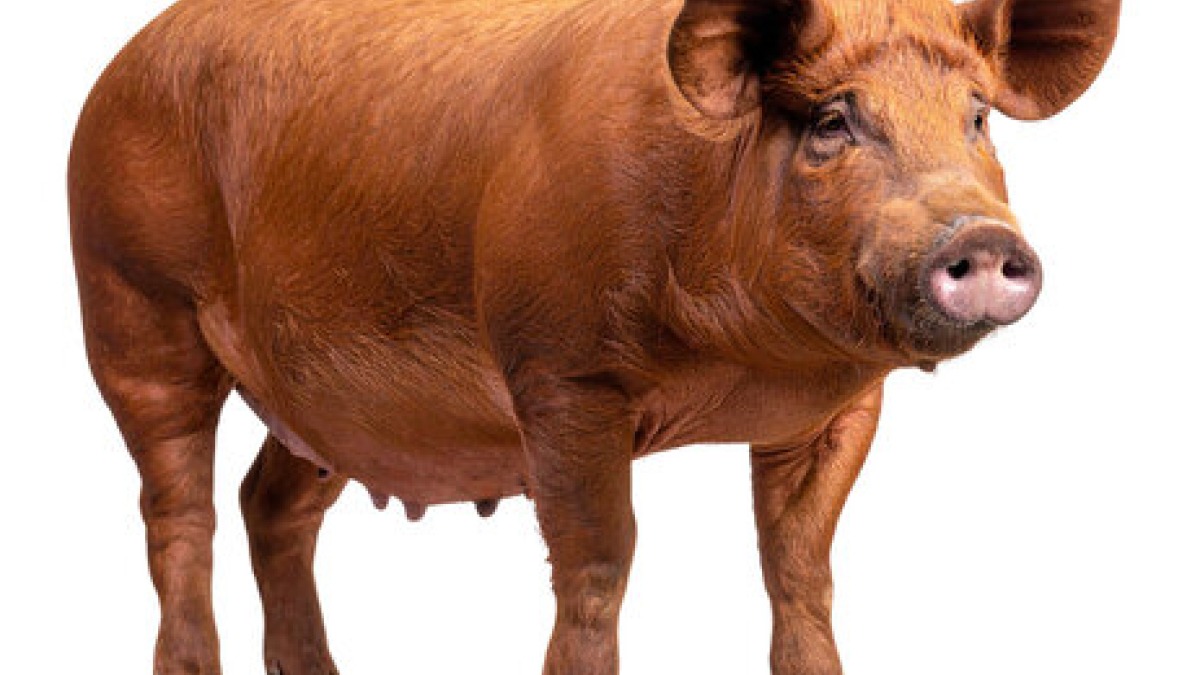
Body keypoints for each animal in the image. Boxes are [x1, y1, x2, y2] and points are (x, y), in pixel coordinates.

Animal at [67, 0, 1121, 673]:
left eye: (977, 117)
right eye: (832, 122)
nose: (980, 237)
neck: (742, 367)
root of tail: (119, 62)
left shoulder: (842, 404)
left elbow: (799, 567)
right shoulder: (559, 372)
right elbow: (599, 563)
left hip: (322, 398)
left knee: (270, 503)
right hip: (130, 301)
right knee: (178, 512)